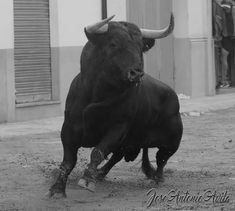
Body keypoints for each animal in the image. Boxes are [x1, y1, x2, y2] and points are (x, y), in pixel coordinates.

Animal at [47, 14, 183, 198]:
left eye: (140, 46)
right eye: (113, 44)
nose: (136, 73)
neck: (97, 94)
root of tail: (173, 95)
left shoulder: (118, 128)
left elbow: (97, 152)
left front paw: (87, 180)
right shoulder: (68, 127)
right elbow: (69, 160)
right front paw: (58, 189)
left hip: (172, 142)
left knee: (161, 159)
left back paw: (157, 178)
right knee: (116, 157)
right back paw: (101, 174)